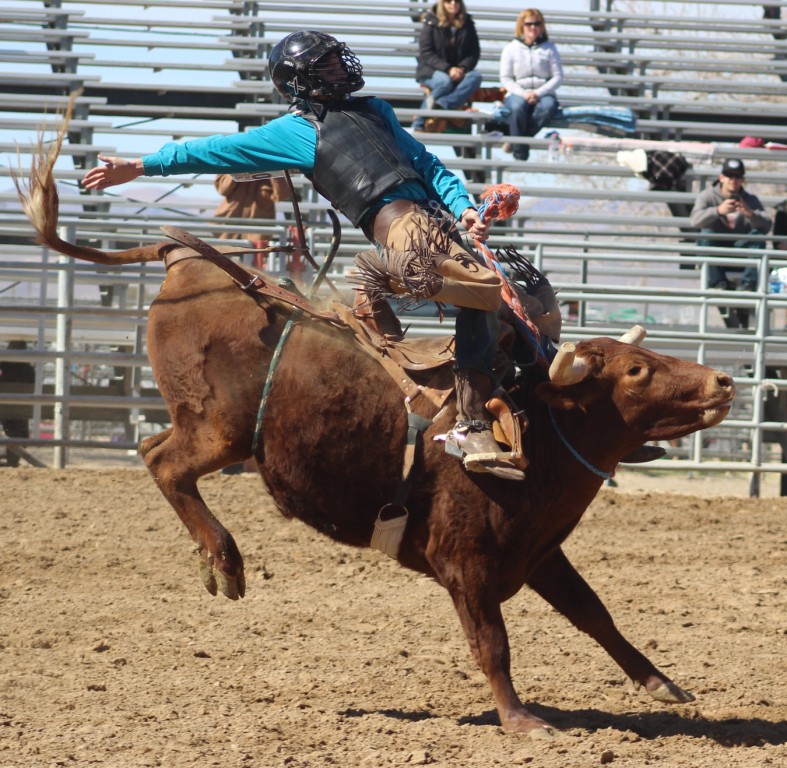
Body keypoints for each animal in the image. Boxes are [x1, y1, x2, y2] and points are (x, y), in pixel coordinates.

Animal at [14, 132, 735, 737]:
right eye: (637, 371)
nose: (724, 381)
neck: (538, 430)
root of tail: (188, 262)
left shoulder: (538, 553)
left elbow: (595, 614)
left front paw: (662, 683)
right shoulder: (463, 563)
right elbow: (492, 644)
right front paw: (521, 721)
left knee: (156, 455)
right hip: (217, 429)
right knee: (162, 461)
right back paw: (225, 561)